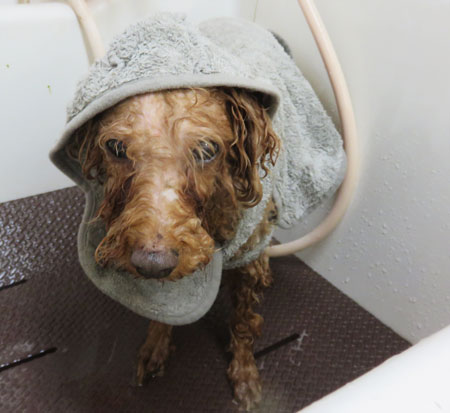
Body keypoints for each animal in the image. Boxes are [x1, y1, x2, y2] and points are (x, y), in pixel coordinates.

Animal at [69, 86, 281, 410]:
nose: (152, 264)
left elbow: (243, 322)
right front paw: (156, 345)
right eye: (116, 147)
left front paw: (245, 375)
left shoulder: (248, 257)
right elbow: (163, 308)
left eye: (207, 150)